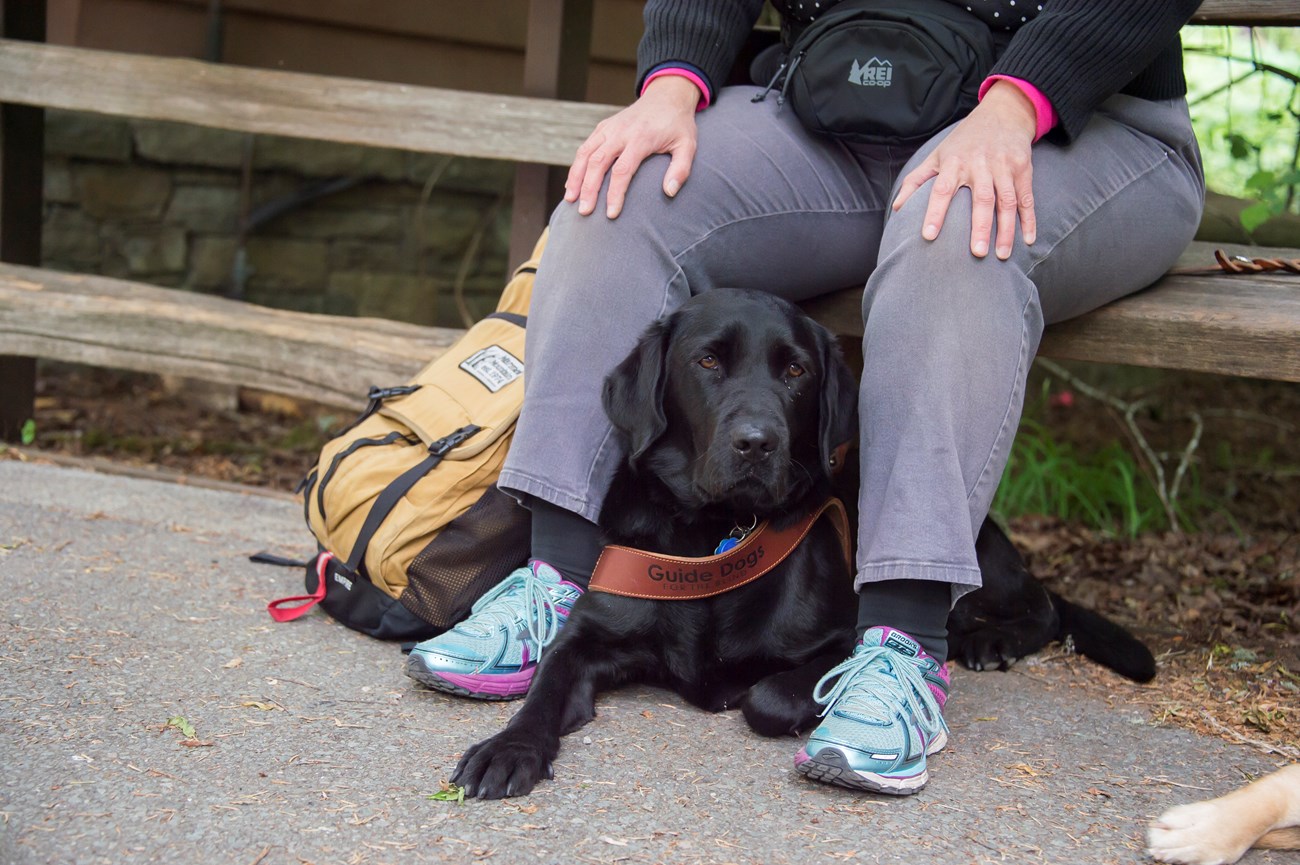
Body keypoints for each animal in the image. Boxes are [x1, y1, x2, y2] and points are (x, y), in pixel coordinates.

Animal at [452, 288, 1154, 796]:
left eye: (795, 370)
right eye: (707, 361)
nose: (758, 443)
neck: (714, 536)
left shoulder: (842, 641)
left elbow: (768, 695)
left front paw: (750, 693)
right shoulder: (587, 637)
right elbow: (545, 688)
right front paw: (509, 749)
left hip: (974, 557)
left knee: (1043, 605)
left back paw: (991, 639)